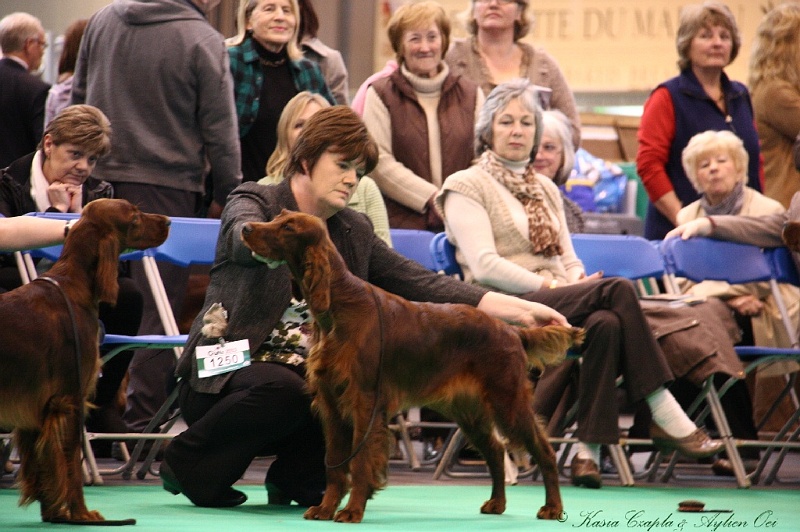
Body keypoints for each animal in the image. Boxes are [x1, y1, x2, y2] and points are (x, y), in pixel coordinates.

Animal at [0, 200, 169, 524]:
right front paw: (82, 514)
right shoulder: (70, 398)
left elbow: (45, 465)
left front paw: (54, 513)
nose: (169, 221)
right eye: (134, 216)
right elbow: (71, 464)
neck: (74, 287)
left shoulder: (37, 406)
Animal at [241, 209, 584, 524]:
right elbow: (334, 463)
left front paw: (352, 511)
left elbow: (359, 461)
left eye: (288, 227)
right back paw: (496, 503)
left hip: (507, 401)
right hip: (468, 410)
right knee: (496, 451)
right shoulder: (331, 404)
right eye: (277, 217)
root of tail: (512, 331)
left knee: (543, 450)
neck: (339, 307)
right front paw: (325, 509)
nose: (245, 227)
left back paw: (552, 508)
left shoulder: (365, 402)